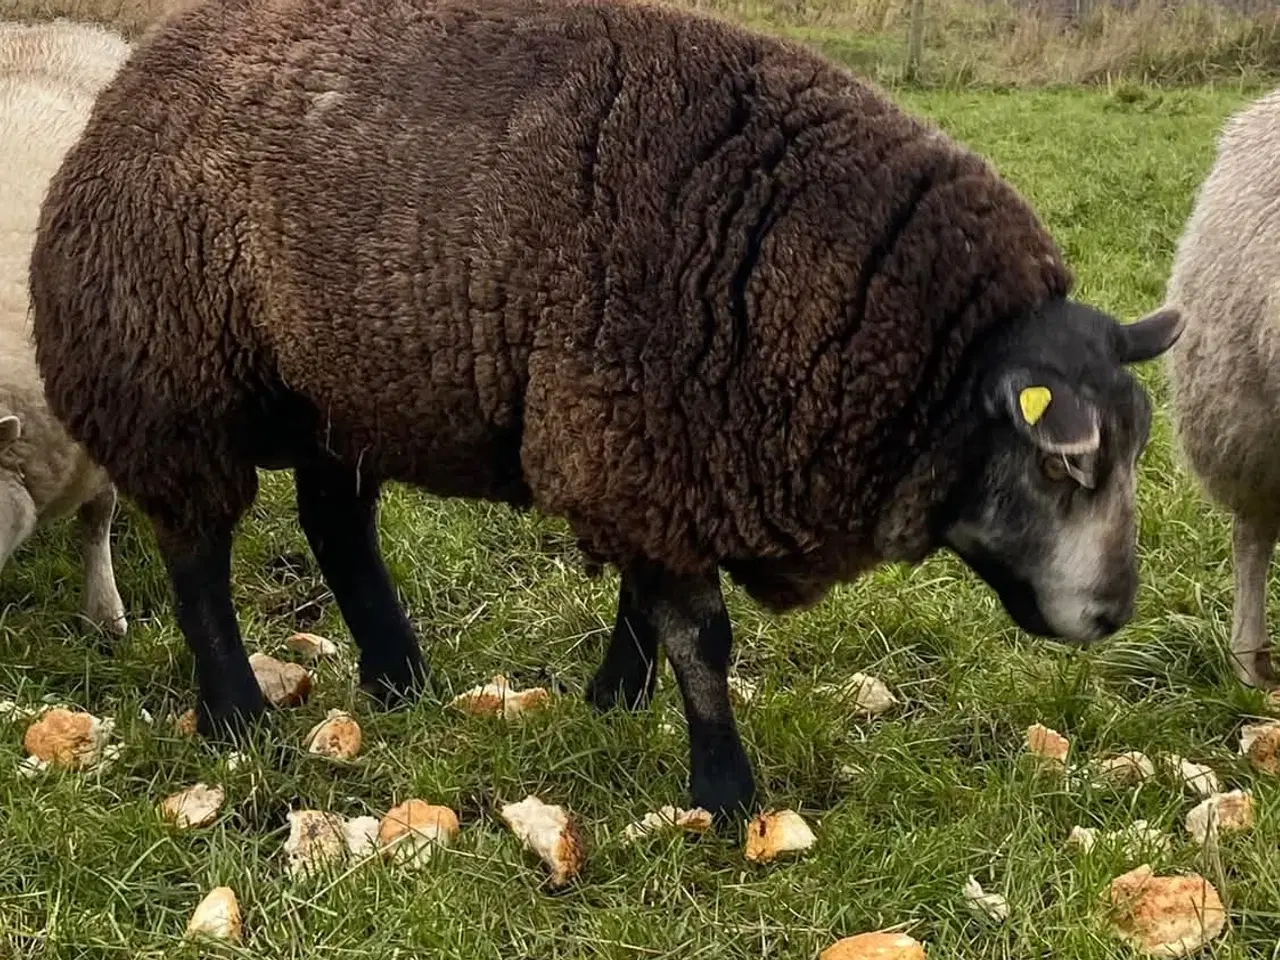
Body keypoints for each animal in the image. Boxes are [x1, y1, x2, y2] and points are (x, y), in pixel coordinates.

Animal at [30, 0, 1182, 819]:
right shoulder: (644, 435)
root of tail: (141, 63)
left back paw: (399, 677)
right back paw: (237, 716)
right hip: (167, 379)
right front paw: (726, 796)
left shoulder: (654, 447)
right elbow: (700, 636)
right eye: (1063, 461)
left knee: (336, 524)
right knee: (196, 553)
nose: (1113, 615)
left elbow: (645, 602)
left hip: (339, 387)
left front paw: (614, 702)